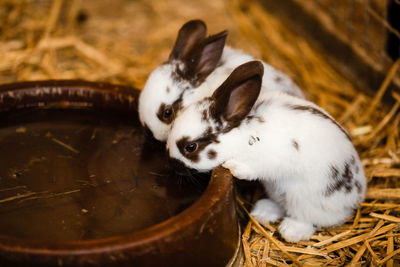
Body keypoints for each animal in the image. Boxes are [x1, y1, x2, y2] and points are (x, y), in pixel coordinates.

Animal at [166, 61, 366, 245]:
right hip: (277, 190)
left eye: (190, 147)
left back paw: (290, 230)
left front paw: (233, 167)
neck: (242, 135)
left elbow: (256, 168)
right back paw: (262, 211)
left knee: (310, 220)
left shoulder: (273, 159)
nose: (171, 164)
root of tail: (358, 194)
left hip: (305, 200)